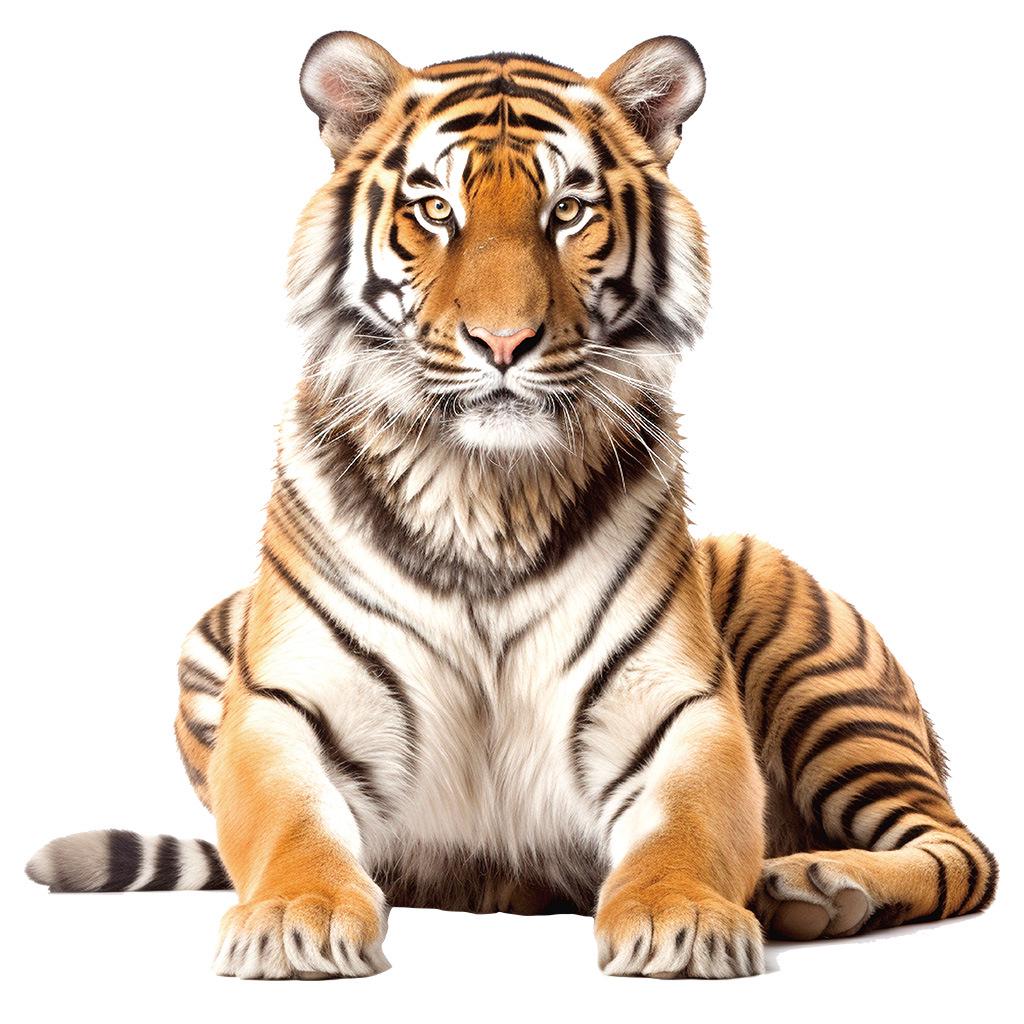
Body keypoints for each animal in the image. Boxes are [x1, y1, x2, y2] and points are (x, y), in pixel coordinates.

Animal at [26, 31, 997, 980]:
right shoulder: (280, 703)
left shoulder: (681, 709)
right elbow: (289, 823)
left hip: (817, 667)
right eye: (434, 210)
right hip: (211, 637)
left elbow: (687, 826)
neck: (482, 491)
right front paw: (297, 918)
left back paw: (813, 886)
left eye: (567, 211)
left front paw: (680, 917)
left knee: (962, 850)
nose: (503, 342)